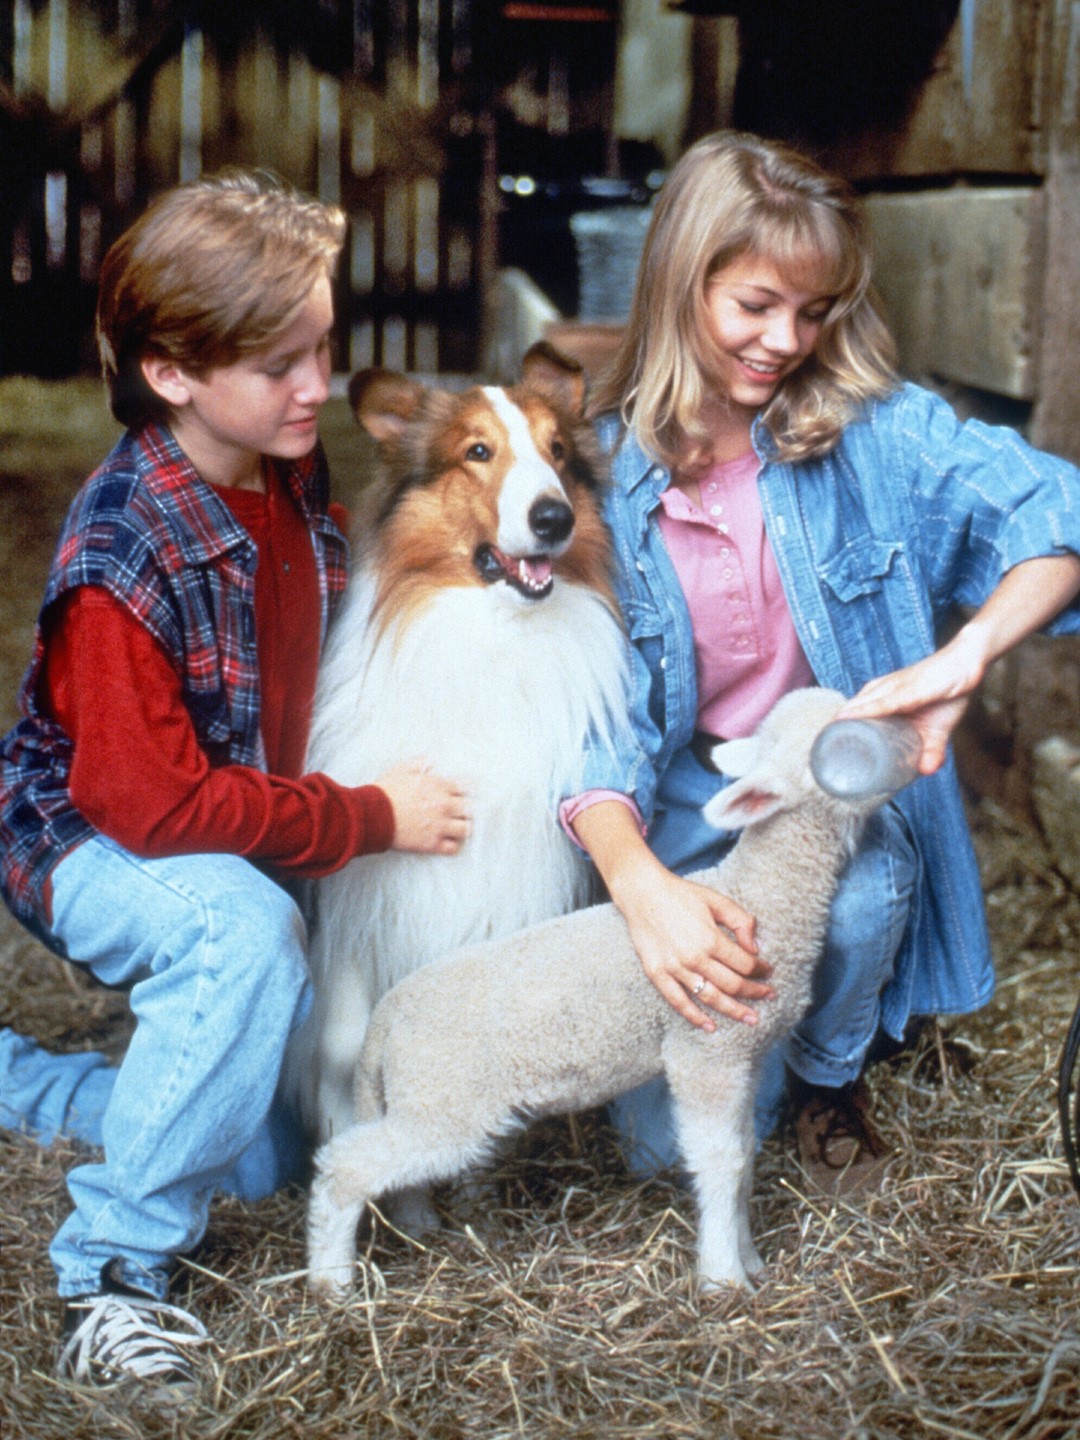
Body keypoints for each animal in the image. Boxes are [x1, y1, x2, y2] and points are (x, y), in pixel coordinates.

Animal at [288, 339, 633, 1157]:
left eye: (559, 452)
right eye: (477, 451)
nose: (554, 518)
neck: (492, 638)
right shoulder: (358, 910)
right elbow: (346, 1049)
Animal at [306, 685, 915, 1296]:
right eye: (844, 750)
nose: (913, 738)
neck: (756, 896)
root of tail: (386, 1018)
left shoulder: (744, 1054)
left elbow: (744, 1154)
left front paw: (750, 1259)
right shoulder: (705, 1052)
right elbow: (721, 1163)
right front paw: (724, 1277)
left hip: (423, 1100)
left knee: (392, 1169)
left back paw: (417, 1227)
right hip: (443, 1102)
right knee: (346, 1168)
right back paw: (332, 1282)